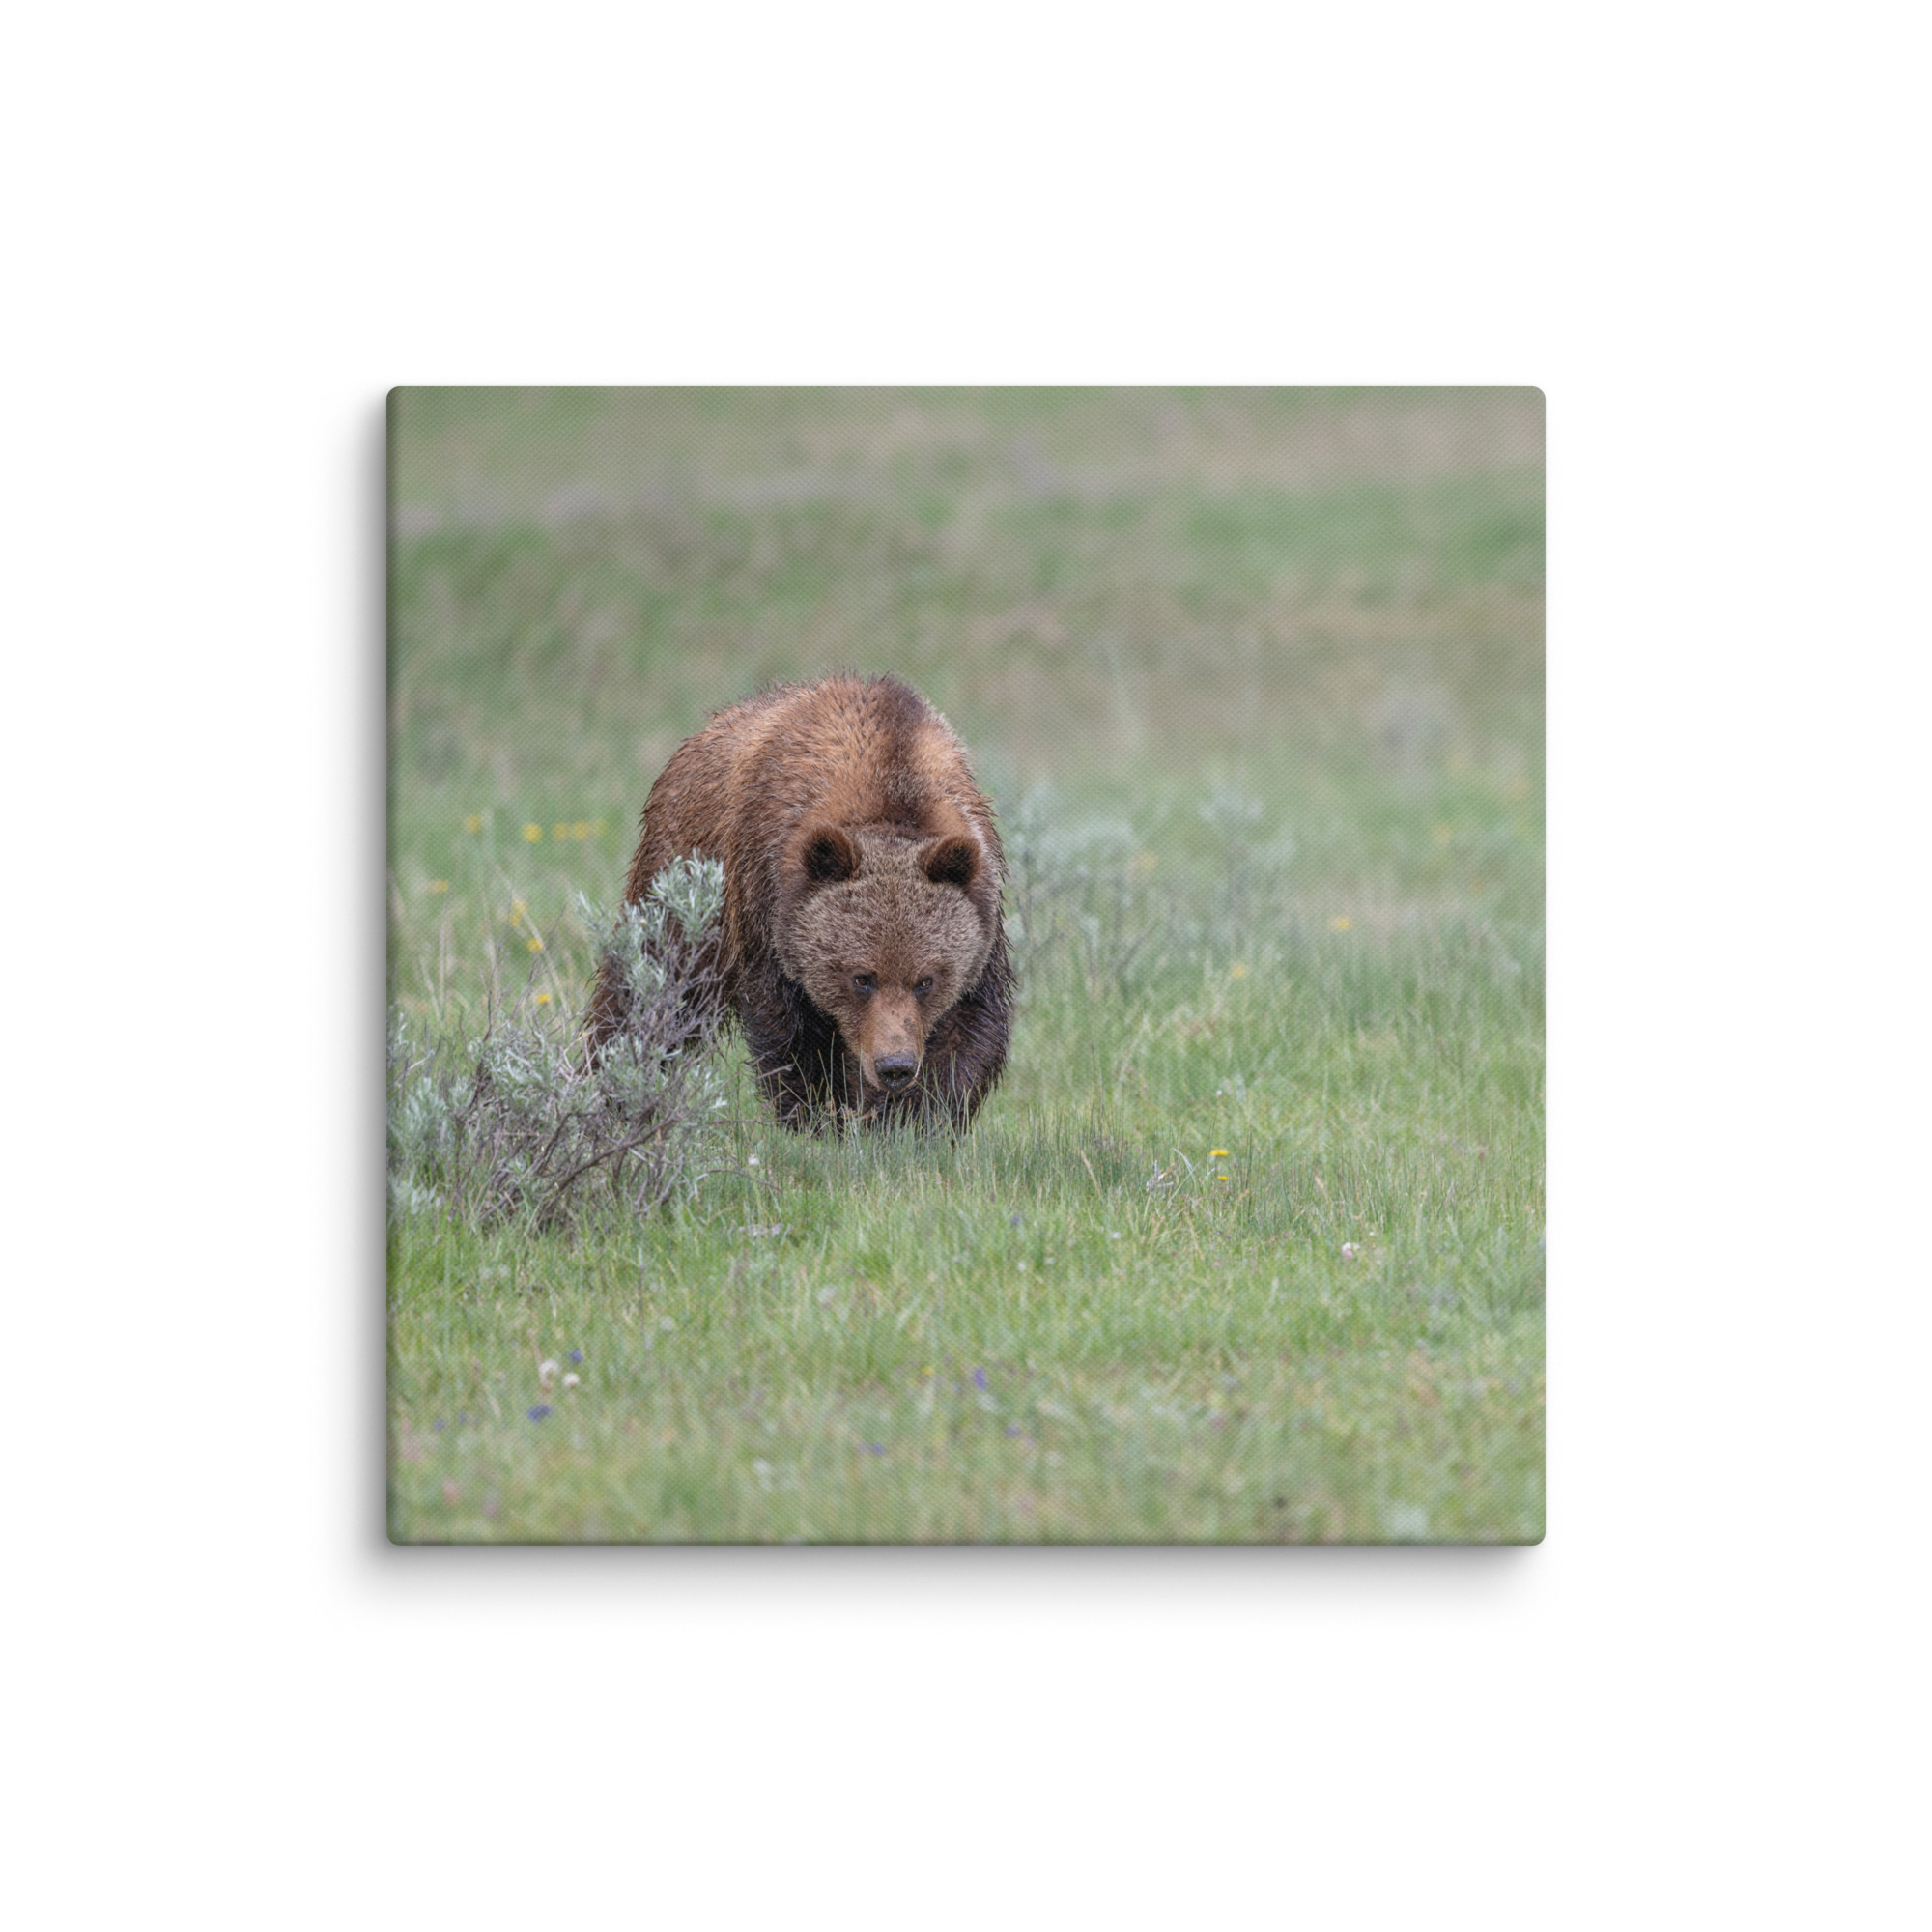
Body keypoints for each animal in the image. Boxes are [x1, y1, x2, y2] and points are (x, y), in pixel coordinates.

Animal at [587, 674, 1014, 1131]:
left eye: (926, 980)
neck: (891, 784)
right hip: (683, 880)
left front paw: (911, 1120)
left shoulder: (981, 914)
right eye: (861, 977)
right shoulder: (766, 902)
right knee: (651, 987)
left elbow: (967, 1030)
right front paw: (818, 1116)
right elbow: (792, 1033)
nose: (894, 1066)